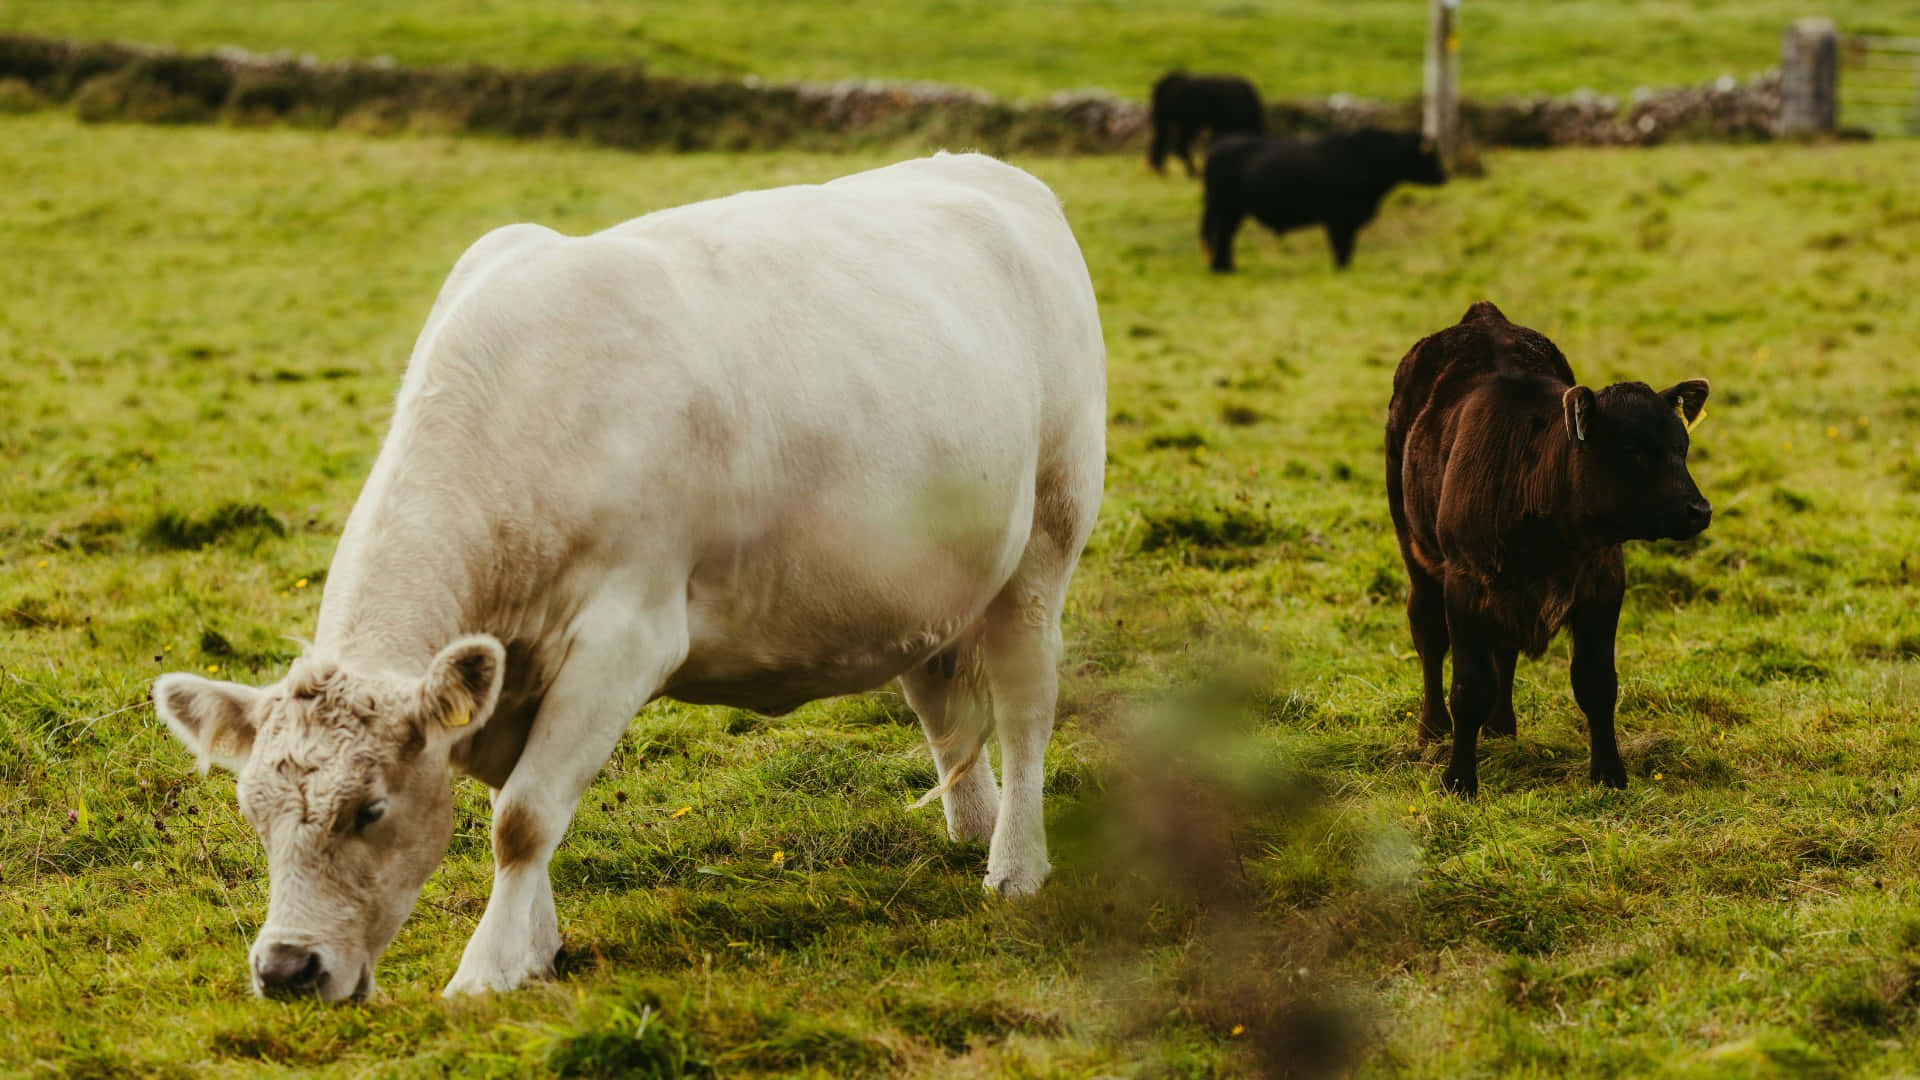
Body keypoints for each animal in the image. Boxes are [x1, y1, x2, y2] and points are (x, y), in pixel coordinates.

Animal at [150, 151, 1107, 1001]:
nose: (285, 969)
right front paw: (537, 949)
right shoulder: (511, 678)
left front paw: (486, 970)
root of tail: (988, 171)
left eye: (370, 810)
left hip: (1045, 543)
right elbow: (516, 809)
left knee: (1025, 711)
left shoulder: (628, 636)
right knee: (946, 708)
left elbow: (523, 817)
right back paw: (970, 831)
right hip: (927, 579)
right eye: (254, 815)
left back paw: (1015, 865)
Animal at [1201, 129, 1446, 273]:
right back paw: (1222, 269)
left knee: (1225, 237)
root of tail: (1218, 146)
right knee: (1222, 236)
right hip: (1224, 208)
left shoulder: (1351, 220)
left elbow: (1349, 246)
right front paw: (1341, 269)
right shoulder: (1337, 219)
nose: (1444, 176)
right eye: (1432, 156)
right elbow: (1341, 247)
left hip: (1233, 211)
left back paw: (1227, 267)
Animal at [1385, 302, 1711, 797]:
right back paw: (1432, 729)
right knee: (1428, 632)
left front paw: (1609, 773)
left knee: (1504, 649)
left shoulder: (1604, 581)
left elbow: (1597, 684)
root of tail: (1484, 316)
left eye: (1682, 446)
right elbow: (1469, 687)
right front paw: (1459, 779)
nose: (1699, 510)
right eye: (1632, 448)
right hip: (1415, 546)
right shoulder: (1464, 582)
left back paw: (1501, 726)